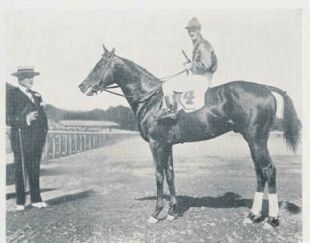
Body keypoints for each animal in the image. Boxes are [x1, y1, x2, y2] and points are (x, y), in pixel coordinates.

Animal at [78, 44, 302, 229]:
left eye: (99, 65)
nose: (82, 86)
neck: (151, 100)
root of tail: (265, 88)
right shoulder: (167, 145)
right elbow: (170, 174)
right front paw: (172, 211)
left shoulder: (156, 144)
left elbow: (159, 175)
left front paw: (156, 213)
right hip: (253, 140)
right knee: (259, 172)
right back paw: (253, 215)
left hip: (257, 140)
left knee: (269, 170)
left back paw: (272, 220)